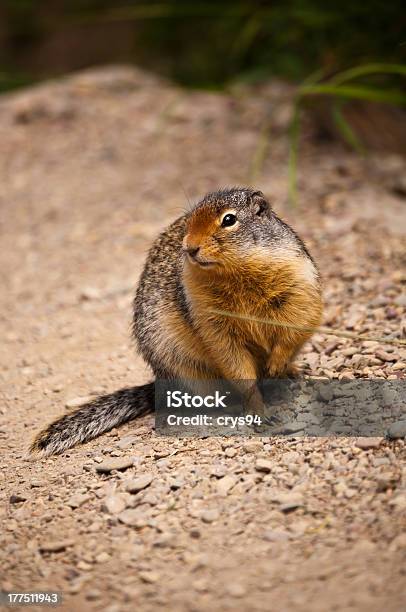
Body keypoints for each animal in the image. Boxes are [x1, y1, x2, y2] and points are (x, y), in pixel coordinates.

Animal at [30, 186, 322, 454]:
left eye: (229, 219)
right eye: (190, 219)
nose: (189, 247)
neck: (238, 272)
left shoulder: (299, 289)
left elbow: (296, 328)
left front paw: (279, 364)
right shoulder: (213, 325)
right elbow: (239, 369)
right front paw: (259, 412)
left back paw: (295, 370)